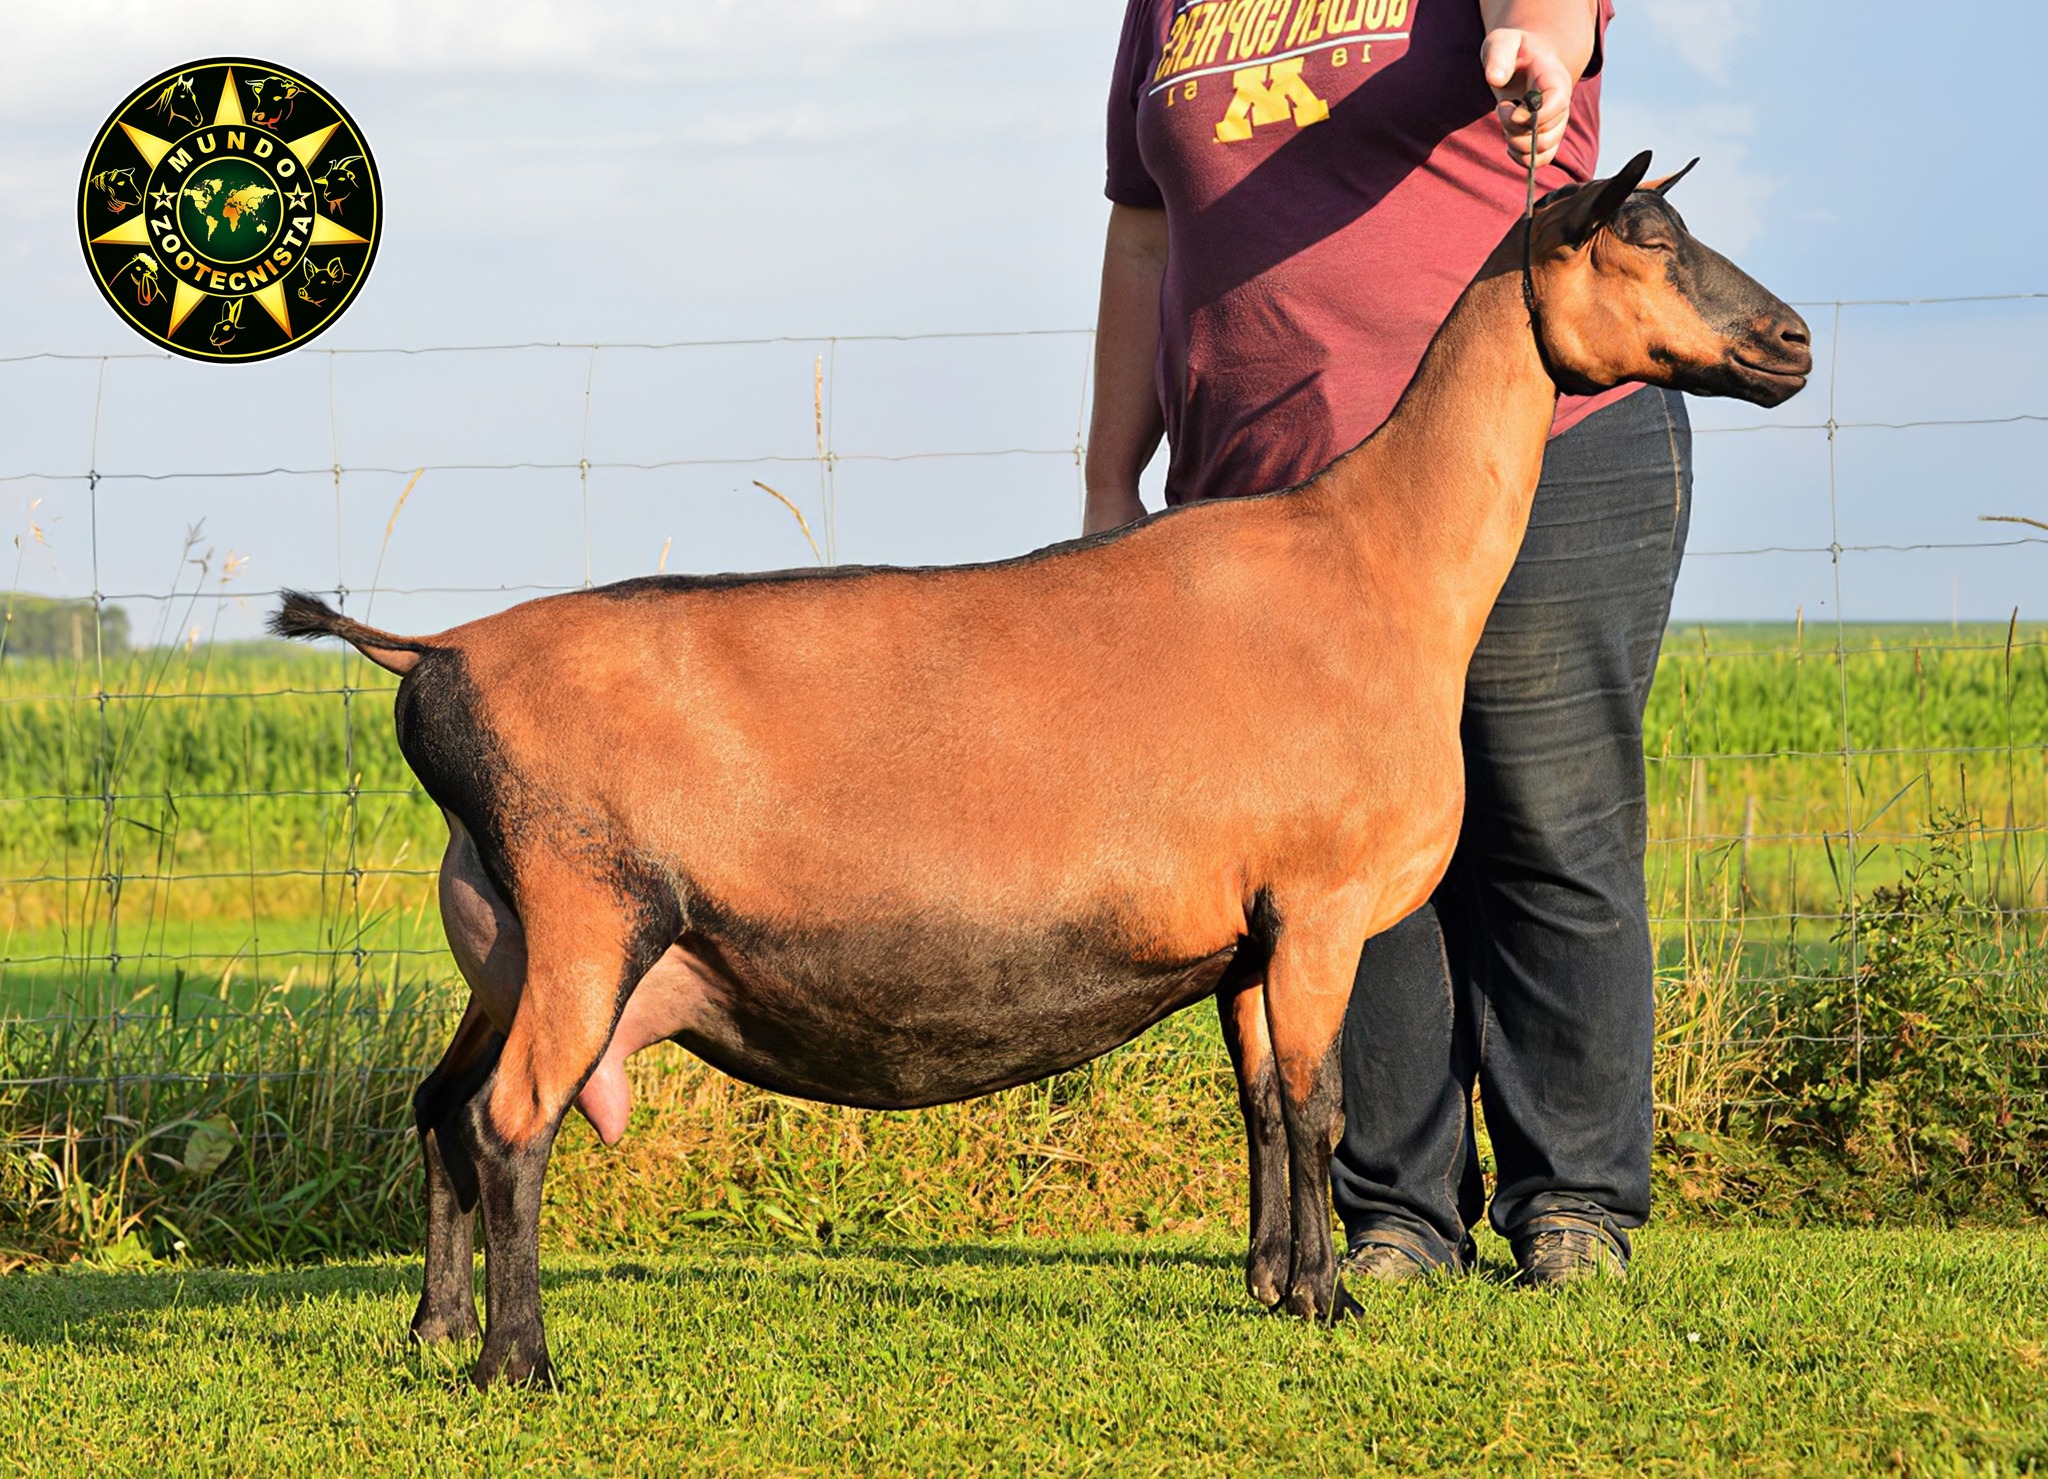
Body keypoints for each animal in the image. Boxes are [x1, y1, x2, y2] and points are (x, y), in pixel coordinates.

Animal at [273, 151, 1810, 1387]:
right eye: (1643, 236)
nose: (1791, 340)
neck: (1382, 564)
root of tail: (432, 656)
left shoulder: (1248, 933)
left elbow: (1261, 1103)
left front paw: (1270, 1286)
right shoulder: (1319, 904)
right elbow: (1320, 1104)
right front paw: (1328, 1302)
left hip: (505, 940)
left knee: (439, 1107)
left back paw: (432, 1330)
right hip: (589, 913)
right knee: (508, 1120)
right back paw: (518, 1363)